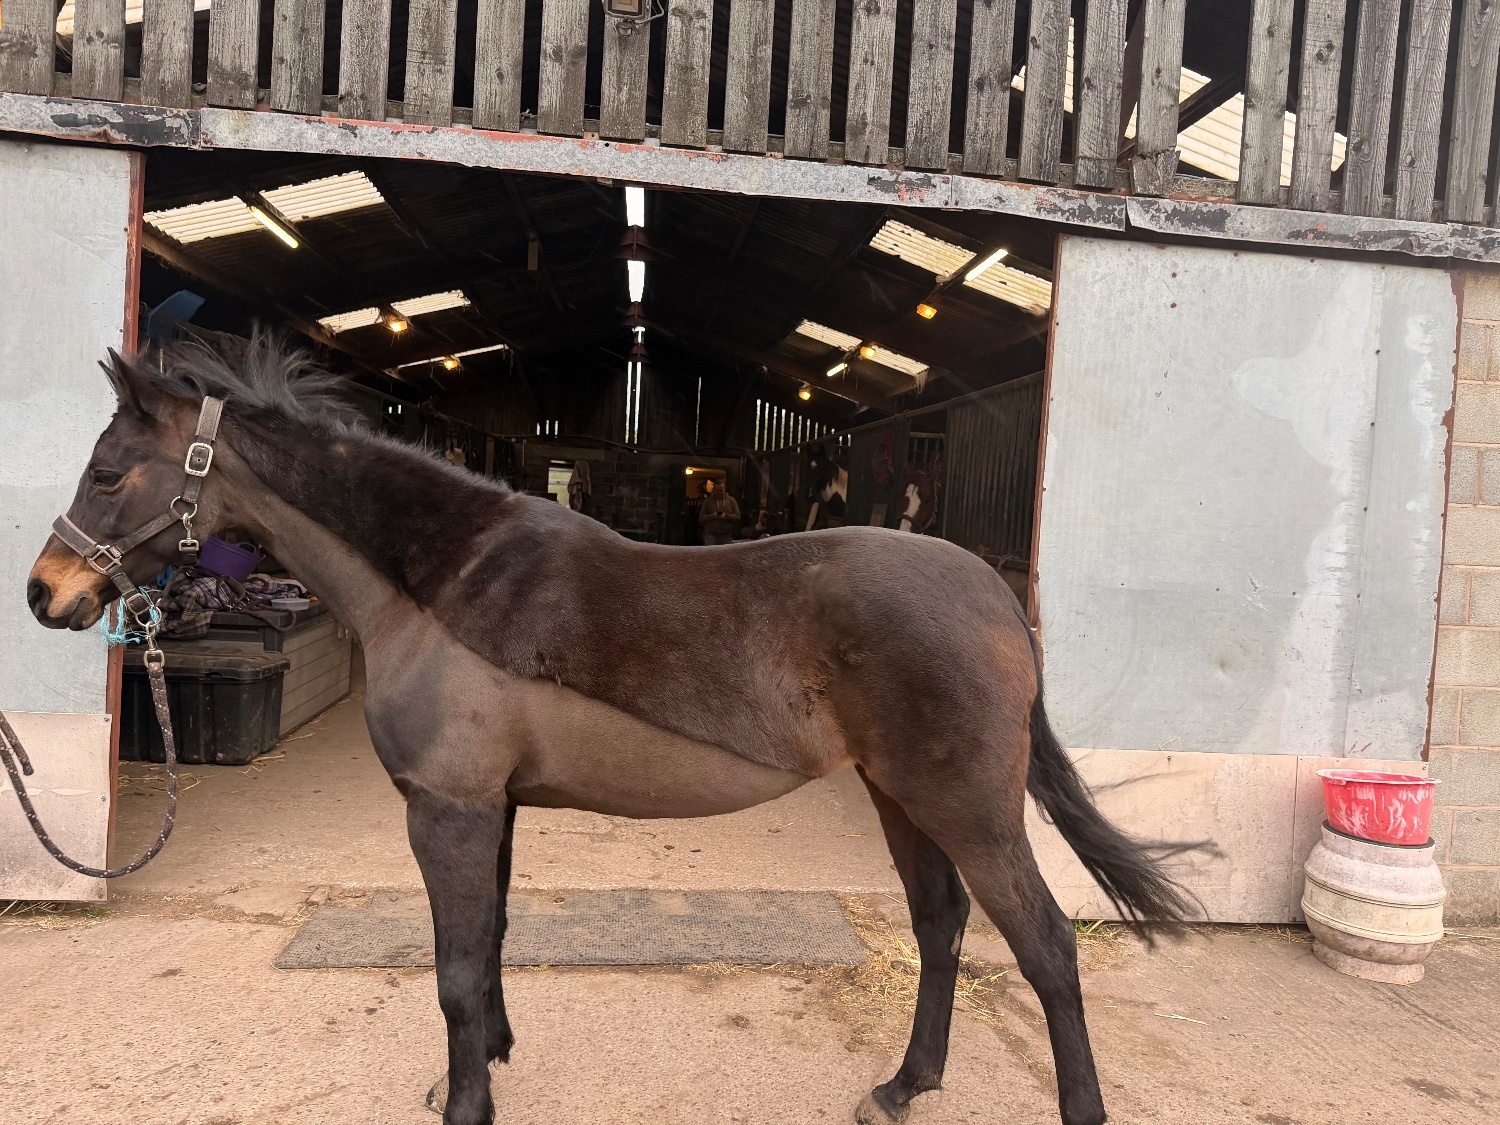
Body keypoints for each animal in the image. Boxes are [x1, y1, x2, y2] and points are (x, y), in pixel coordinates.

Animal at [26, 337, 1199, 1125]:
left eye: (107, 471)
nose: (46, 593)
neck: (443, 582)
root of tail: (995, 595)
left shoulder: (448, 810)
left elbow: (454, 965)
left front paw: (465, 1102)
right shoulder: (490, 808)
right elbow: (490, 942)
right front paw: (490, 1060)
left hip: (966, 805)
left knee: (1044, 945)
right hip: (900, 794)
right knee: (942, 924)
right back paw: (903, 1087)